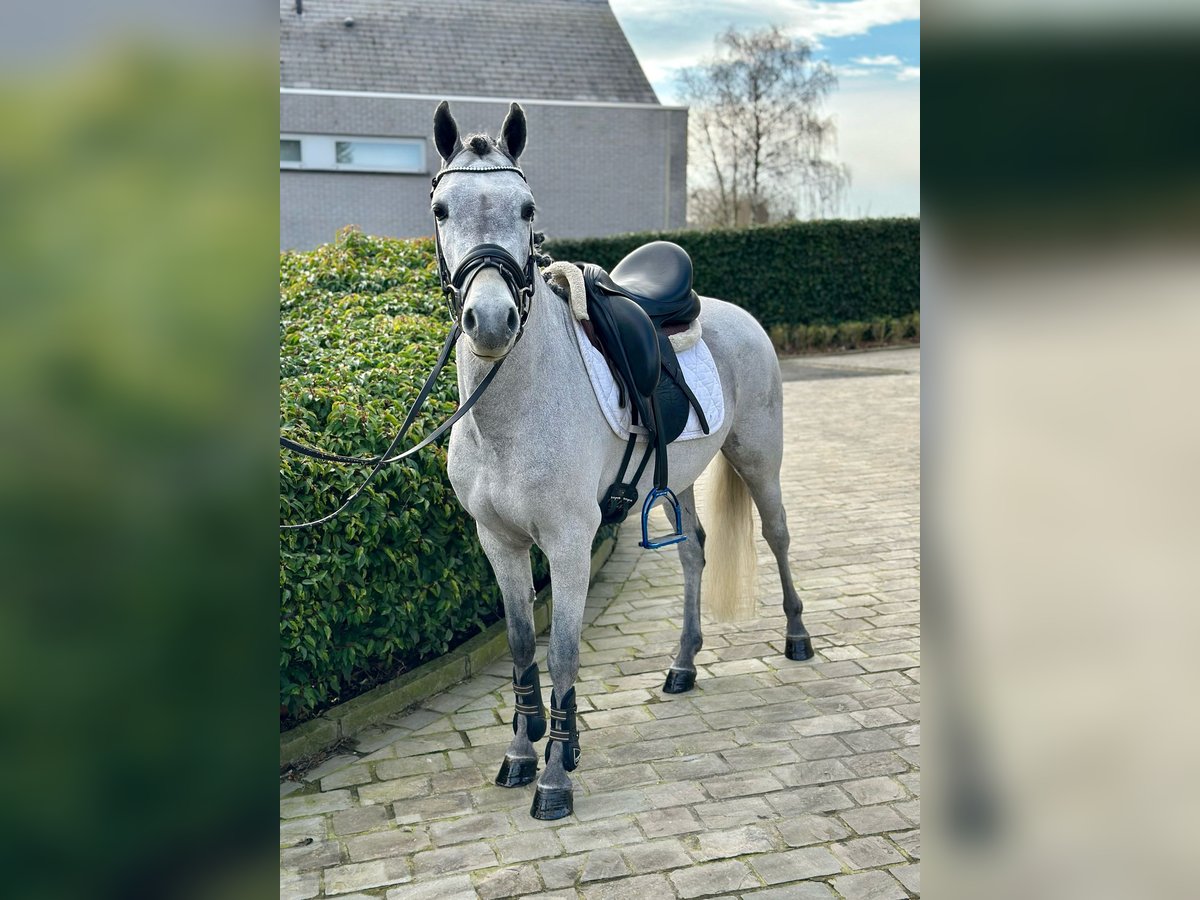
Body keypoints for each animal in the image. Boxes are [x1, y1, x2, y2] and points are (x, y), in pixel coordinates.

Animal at [432, 100, 813, 820]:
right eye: (441, 208)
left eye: (527, 207)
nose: (490, 321)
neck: (508, 417)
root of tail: (736, 314)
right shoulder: (498, 542)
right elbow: (521, 648)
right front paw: (520, 754)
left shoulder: (569, 543)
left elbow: (561, 655)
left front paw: (557, 775)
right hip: (680, 481)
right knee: (694, 552)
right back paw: (683, 665)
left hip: (760, 459)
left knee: (778, 536)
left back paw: (798, 639)